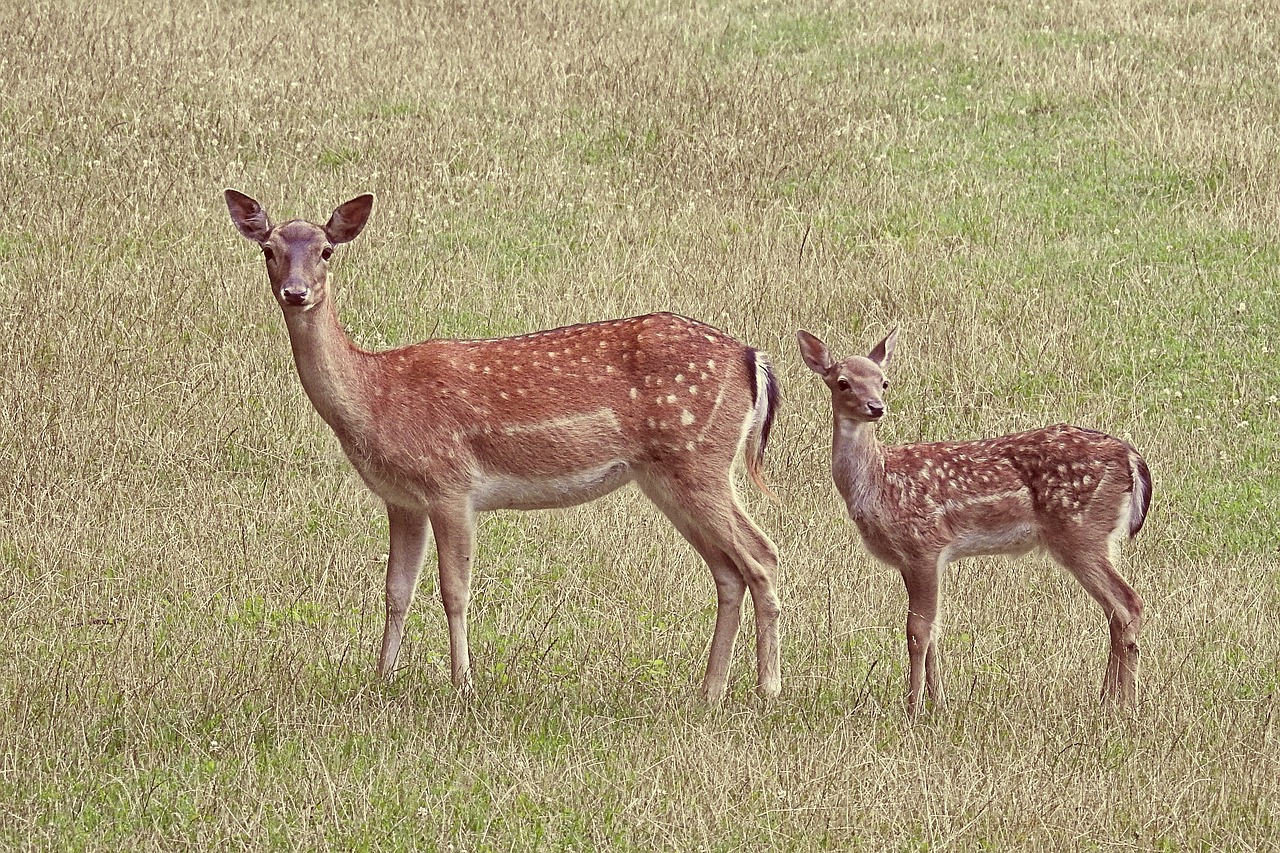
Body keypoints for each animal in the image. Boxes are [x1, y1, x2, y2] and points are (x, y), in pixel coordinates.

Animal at [226, 190, 783, 696]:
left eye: (326, 251)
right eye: (269, 249)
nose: (296, 292)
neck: (375, 395)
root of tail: (752, 359)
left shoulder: (450, 484)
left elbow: (454, 590)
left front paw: (463, 686)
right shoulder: (401, 499)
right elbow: (395, 590)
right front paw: (379, 680)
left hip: (700, 458)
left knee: (763, 555)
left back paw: (767, 690)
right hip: (668, 475)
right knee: (729, 571)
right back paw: (709, 692)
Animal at [798, 327, 1152, 712]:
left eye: (884, 382)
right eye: (843, 382)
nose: (876, 407)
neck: (879, 481)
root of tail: (1130, 456)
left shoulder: (924, 543)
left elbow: (916, 630)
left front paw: (913, 707)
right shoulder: (918, 559)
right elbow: (934, 628)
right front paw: (939, 704)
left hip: (1080, 531)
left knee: (1129, 604)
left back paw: (1125, 705)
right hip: (1094, 536)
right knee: (1115, 612)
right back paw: (1106, 701)